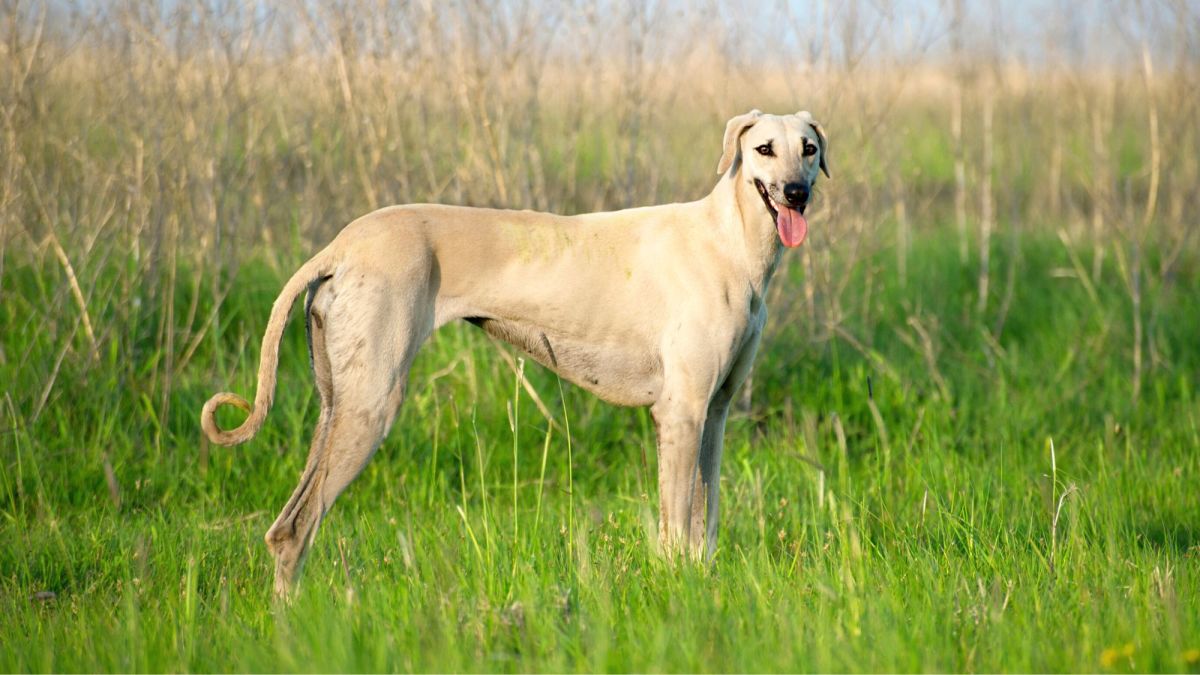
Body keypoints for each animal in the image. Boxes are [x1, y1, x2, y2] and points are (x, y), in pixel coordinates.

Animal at [201, 110, 830, 593]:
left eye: (809, 148)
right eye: (763, 149)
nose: (796, 193)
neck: (727, 239)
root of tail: (340, 245)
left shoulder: (713, 415)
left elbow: (705, 521)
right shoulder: (680, 415)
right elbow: (675, 529)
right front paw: (677, 592)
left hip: (337, 406)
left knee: (288, 525)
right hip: (370, 408)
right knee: (294, 529)